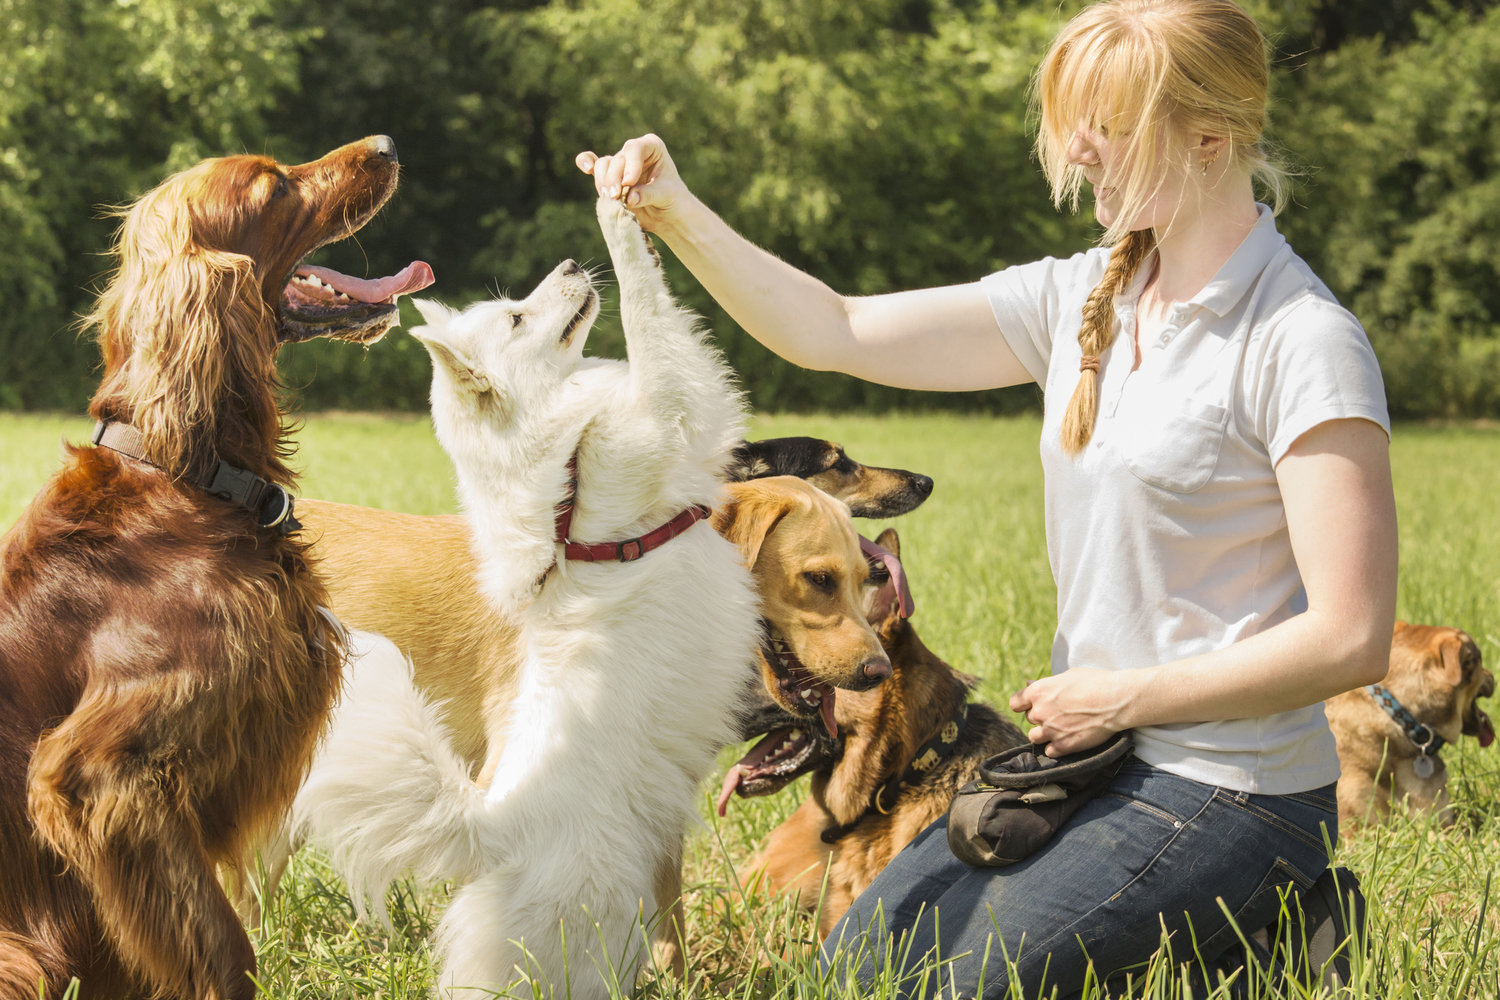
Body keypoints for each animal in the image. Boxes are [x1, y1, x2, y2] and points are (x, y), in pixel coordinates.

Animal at [292, 197, 762, 1000]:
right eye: (516, 318)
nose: (570, 263)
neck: (566, 465)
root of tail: (491, 829)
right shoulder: (672, 404)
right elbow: (647, 311)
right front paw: (617, 214)